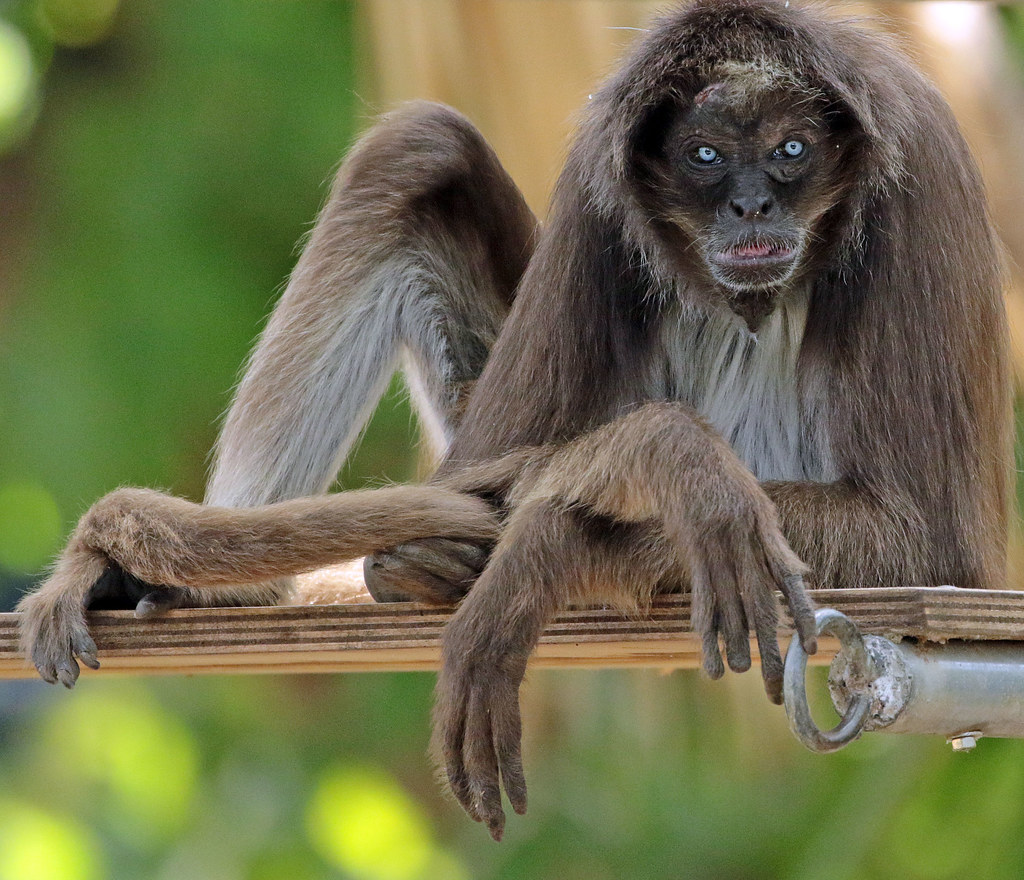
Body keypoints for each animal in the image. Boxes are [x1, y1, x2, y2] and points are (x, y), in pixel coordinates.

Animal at [16, 0, 1007, 840]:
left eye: (792, 148)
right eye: (705, 156)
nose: (751, 202)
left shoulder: (916, 185)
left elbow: (927, 539)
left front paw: (540, 555)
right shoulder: (595, 192)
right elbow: (492, 467)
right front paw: (669, 457)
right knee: (420, 148)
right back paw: (227, 587)